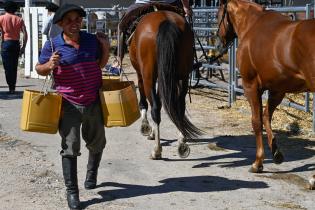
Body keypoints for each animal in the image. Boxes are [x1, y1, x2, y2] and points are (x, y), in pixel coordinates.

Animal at [128, 9, 202, 158]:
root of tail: (165, 20)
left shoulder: (141, 75)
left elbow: (144, 101)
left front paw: (146, 128)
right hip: (183, 76)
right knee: (180, 106)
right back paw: (182, 143)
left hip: (148, 76)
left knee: (155, 108)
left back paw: (157, 150)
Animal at [217, 0, 315, 189]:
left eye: (218, 14)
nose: (219, 41)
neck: (252, 24)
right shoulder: (277, 90)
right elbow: (266, 116)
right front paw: (276, 153)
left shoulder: (250, 86)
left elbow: (256, 121)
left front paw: (258, 163)